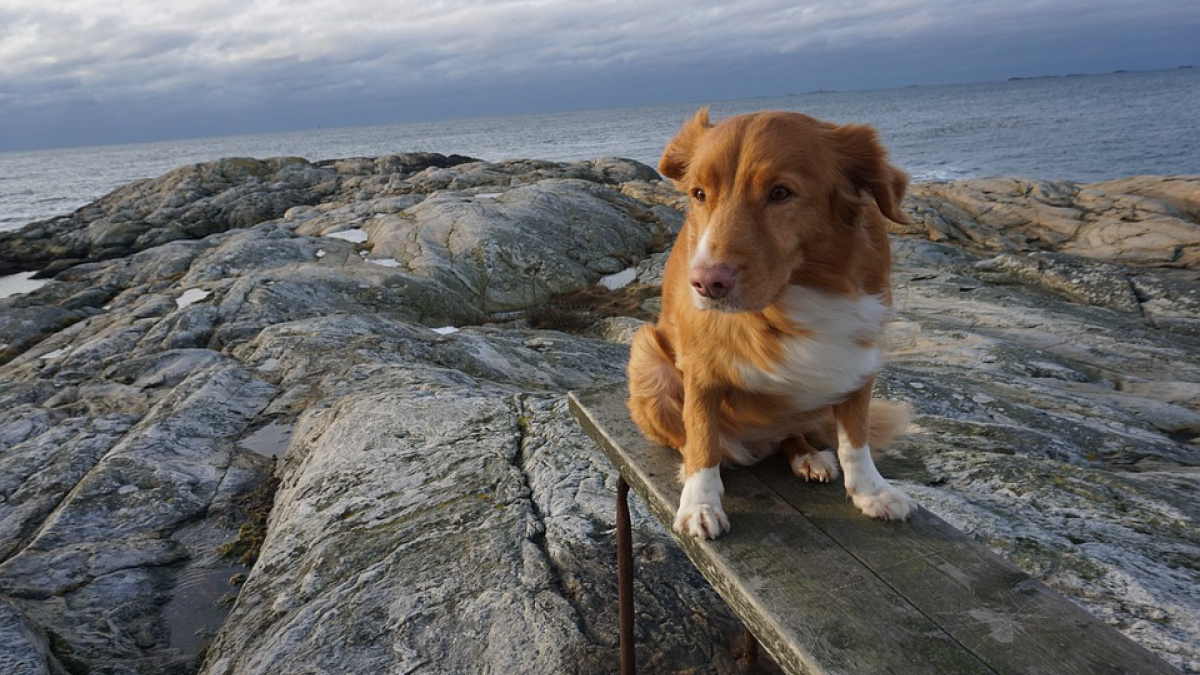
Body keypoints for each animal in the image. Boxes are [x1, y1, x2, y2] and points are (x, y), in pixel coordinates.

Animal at [624, 107, 912, 538]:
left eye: (780, 193)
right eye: (699, 194)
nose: (706, 283)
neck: (798, 292)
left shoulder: (858, 358)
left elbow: (855, 439)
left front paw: (871, 491)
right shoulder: (701, 370)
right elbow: (702, 438)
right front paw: (700, 503)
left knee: (791, 432)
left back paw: (807, 454)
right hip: (647, 356)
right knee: (693, 438)